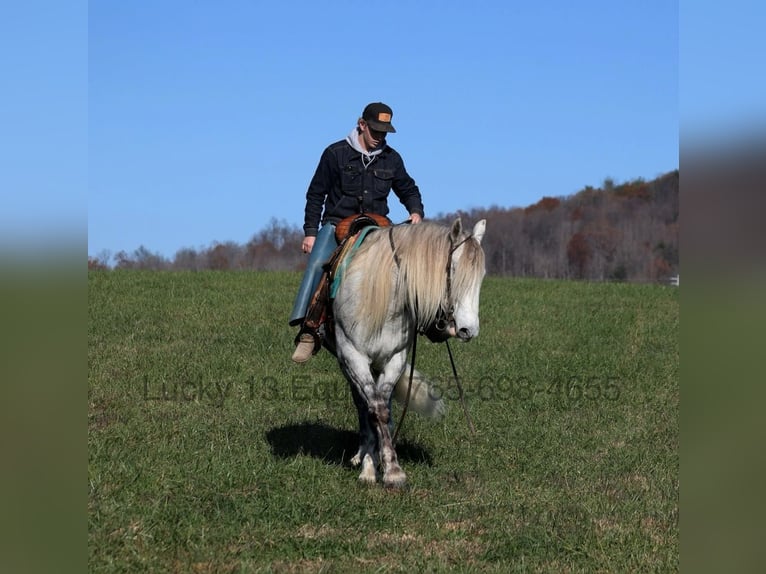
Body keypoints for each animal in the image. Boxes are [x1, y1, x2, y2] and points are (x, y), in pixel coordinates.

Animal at [331, 217, 487, 487]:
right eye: (454, 269)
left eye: (481, 277)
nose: (469, 330)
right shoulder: (353, 356)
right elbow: (376, 410)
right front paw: (377, 469)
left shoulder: (395, 359)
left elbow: (384, 409)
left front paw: (387, 466)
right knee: (364, 406)